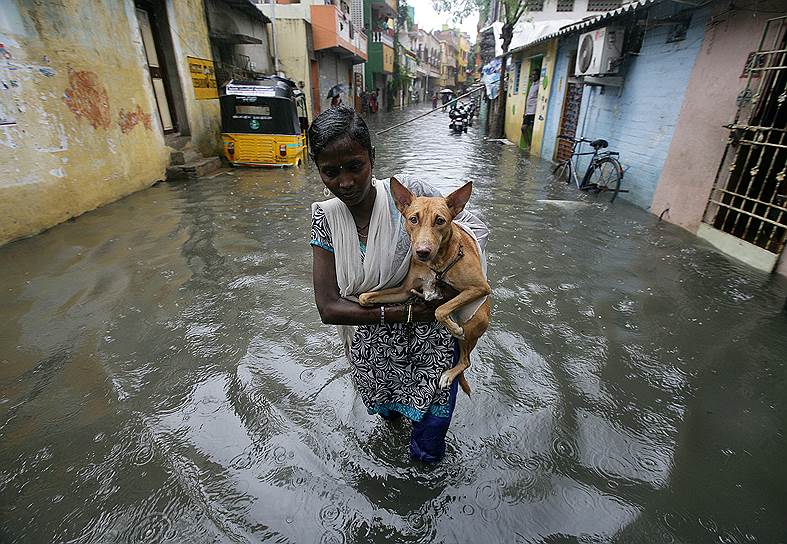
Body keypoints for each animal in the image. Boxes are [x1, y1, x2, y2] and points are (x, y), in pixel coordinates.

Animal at [358, 178, 492, 396]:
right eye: (413, 219)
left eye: (440, 221)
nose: (422, 252)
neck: (435, 263)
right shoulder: (403, 291)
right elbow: (365, 297)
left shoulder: (480, 287)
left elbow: (441, 309)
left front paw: (453, 327)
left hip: (474, 320)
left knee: (466, 361)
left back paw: (449, 373)